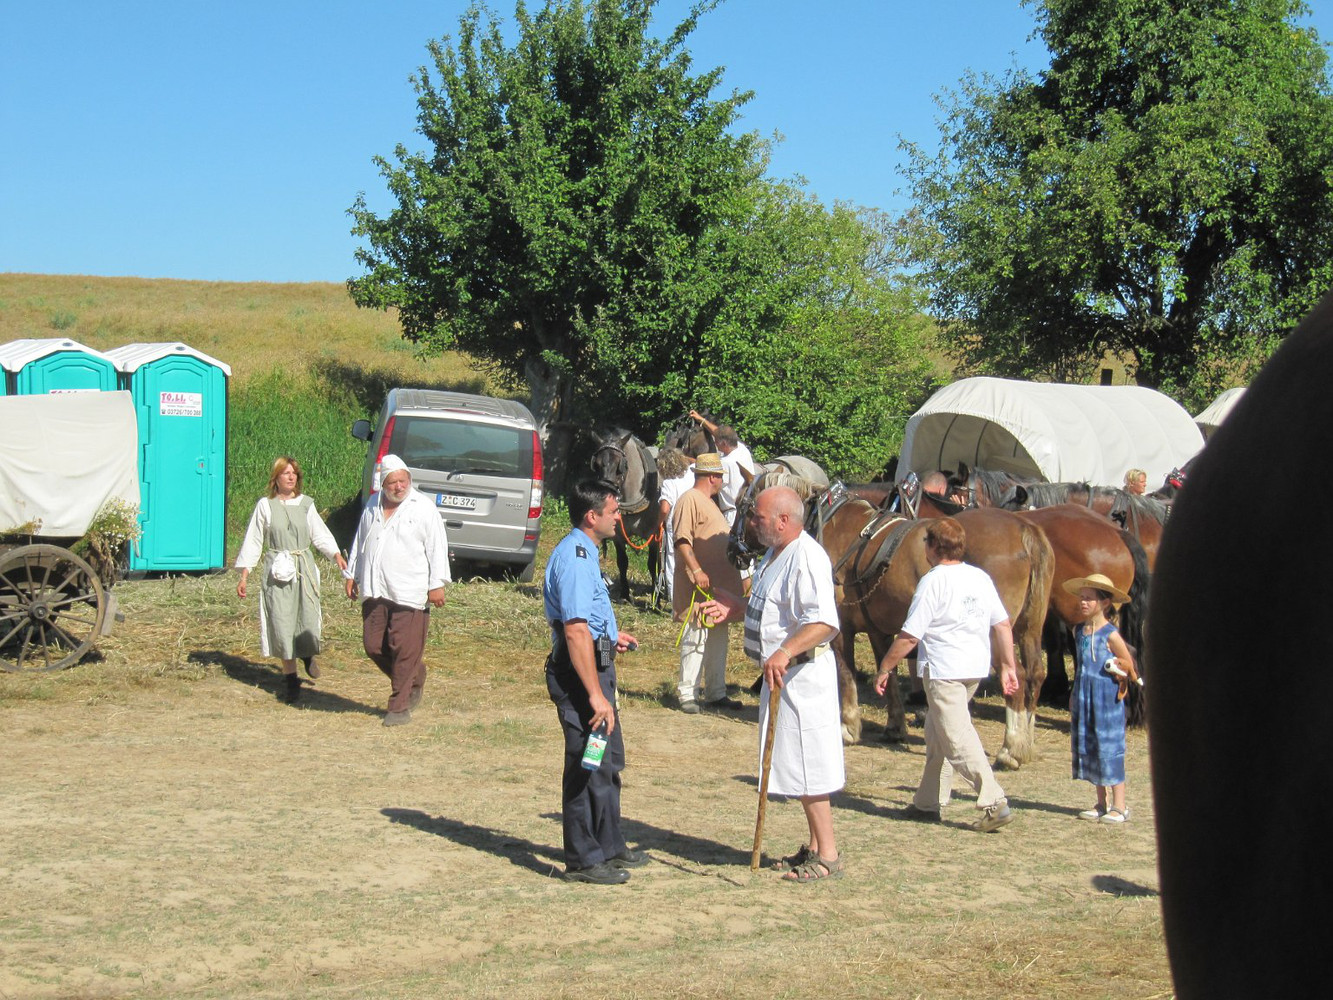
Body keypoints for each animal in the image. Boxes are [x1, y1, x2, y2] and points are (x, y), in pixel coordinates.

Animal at [588, 428, 661, 601]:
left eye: (619, 465)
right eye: (597, 465)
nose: (606, 492)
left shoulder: (654, 534)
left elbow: (652, 564)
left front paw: (655, 598)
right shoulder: (618, 534)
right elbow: (622, 561)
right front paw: (625, 594)